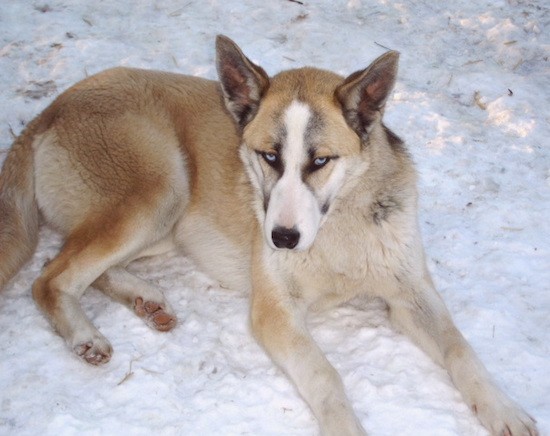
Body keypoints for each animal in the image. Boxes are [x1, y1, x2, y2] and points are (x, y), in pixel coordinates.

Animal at [0, 35, 540, 434]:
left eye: (320, 160)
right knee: (49, 277)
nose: (280, 239)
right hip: (161, 190)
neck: (337, 231)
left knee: (81, 267)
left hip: (167, 220)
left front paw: (503, 408)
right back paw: (86, 334)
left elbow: (461, 350)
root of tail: (50, 109)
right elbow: (325, 373)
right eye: (269, 157)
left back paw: (144, 298)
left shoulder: (411, 295)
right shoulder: (275, 311)